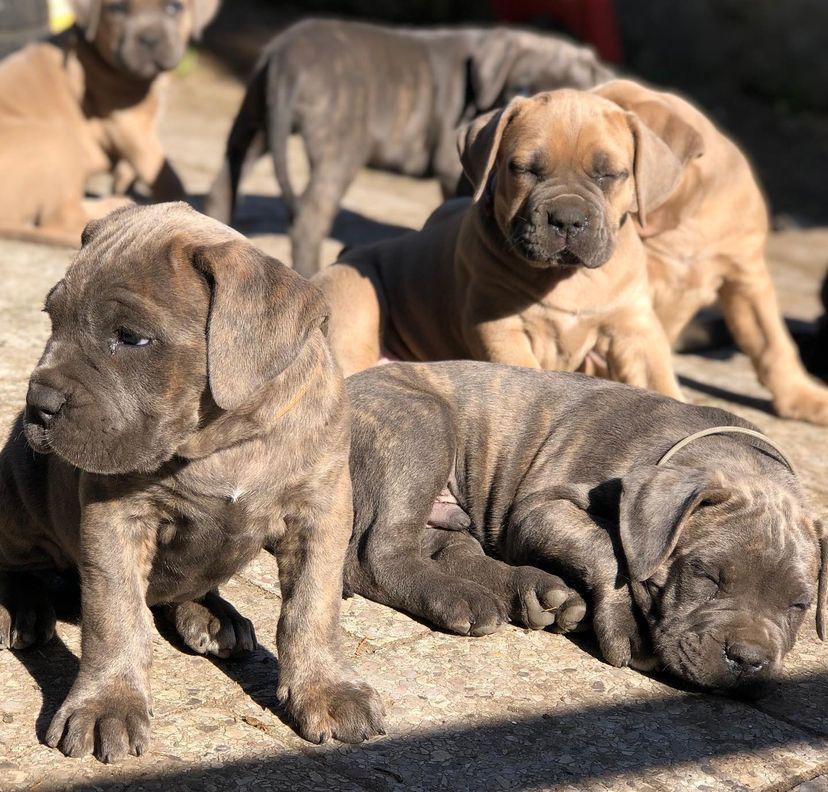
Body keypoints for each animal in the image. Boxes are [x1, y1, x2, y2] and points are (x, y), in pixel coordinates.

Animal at [0, 0, 220, 248]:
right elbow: (165, 174)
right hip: (60, 141)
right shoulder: (130, 126)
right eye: (117, 9)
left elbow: (133, 167)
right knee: (62, 219)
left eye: (174, 8)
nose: (149, 40)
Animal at [0, 203, 384, 760]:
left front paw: (327, 688)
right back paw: (22, 606)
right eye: (53, 319)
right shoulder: (115, 515)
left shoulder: (321, 508)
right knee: (18, 561)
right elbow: (115, 614)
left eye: (132, 338)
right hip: (17, 485)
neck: (224, 442)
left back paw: (213, 615)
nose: (39, 403)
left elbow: (313, 606)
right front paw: (107, 704)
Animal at [204, 17, 612, 276]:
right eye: (524, 88)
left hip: (254, 122)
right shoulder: (456, 168)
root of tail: (285, 57)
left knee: (226, 178)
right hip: (339, 148)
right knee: (310, 216)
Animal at [316, 79, 828, 424]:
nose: (565, 218)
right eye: (523, 169)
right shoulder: (500, 328)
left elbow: (754, 348)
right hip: (354, 303)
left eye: (610, 174)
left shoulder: (638, 327)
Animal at [344, 362, 828, 696]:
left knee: (454, 550)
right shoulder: (540, 508)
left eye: (800, 606)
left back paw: (540, 593)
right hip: (420, 427)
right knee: (376, 554)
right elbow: (609, 550)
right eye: (705, 576)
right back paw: (460, 597)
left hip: (450, 507)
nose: (748, 660)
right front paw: (627, 626)